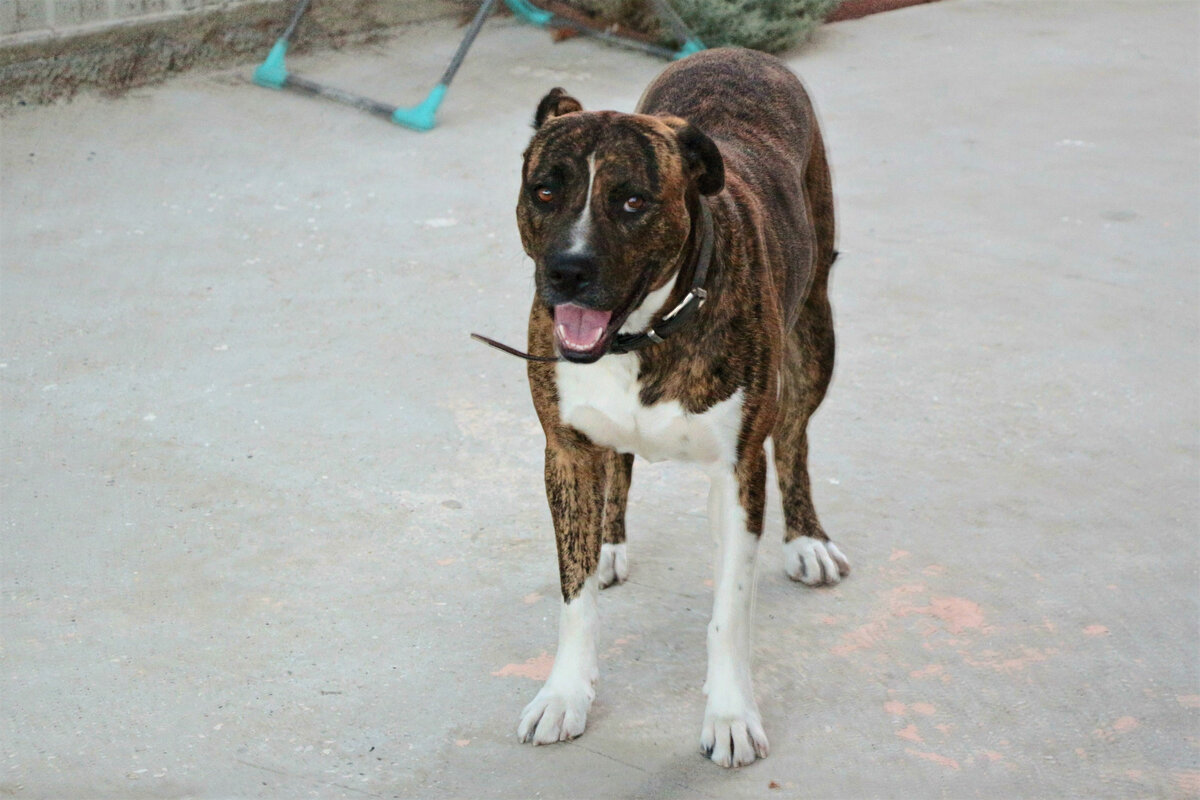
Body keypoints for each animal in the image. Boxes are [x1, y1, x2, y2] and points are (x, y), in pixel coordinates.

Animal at [511, 48, 849, 767]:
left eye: (633, 200)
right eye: (545, 191)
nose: (567, 272)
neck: (642, 333)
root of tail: (736, 51)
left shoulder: (738, 471)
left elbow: (730, 609)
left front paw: (730, 714)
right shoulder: (566, 454)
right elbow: (573, 593)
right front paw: (564, 694)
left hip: (816, 330)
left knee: (796, 437)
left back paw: (807, 538)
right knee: (620, 467)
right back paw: (610, 544)